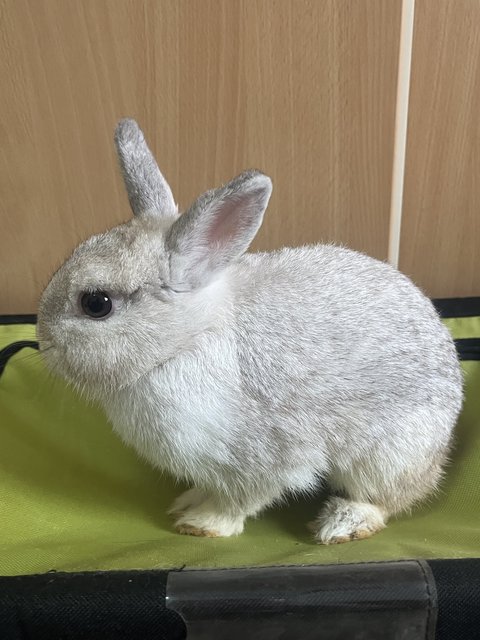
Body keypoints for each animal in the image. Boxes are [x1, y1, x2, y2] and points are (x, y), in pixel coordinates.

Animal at [38, 117, 464, 544]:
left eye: (96, 303)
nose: (42, 341)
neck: (186, 340)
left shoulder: (261, 457)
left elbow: (242, 498)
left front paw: (202, 524)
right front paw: (188, 502)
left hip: (387, 455)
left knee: (386, 500)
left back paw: (342, 524)